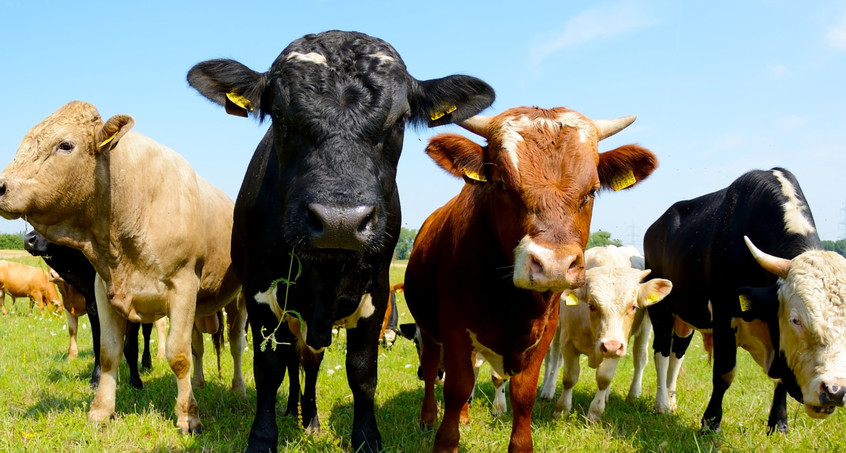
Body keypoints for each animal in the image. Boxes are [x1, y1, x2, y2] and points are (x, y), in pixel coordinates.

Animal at [0, 100, 245, 432]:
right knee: (199, 345)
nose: (1, 187)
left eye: (65, 145)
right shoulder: (104, 290)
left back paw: (239, 388)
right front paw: (101, 411)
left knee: (235, 343)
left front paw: (188, 416)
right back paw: (199, 382)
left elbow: (177, 355)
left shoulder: (182, 287)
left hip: (238, 299)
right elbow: (108, 352)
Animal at [189, 30, 494, 450]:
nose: (339, 221)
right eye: (281, 117)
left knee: (311, 361)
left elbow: (362, 371)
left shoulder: (376, 293)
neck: (325, 273)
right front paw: (263, 437)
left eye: (399, 121)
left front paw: (365, 437)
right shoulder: (259, 292)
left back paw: (310, 418)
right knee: (295, 361)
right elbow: (269, 368)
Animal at [406, 104, 664, 450]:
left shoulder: (544, 331)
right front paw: (446, 441)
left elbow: (523, 393)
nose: (554, 264)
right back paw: (428, 417)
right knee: (434, 365)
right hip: (428, 327)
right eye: (501, 183)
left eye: (592, 190)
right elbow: (457, 387)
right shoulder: (455, 327)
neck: (509, 298)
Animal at [644, 168, 846, 432]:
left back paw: (671, 401)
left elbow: (780, 379)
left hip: (686, 317)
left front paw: (779, 424)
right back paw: (661, 404)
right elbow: (724, 373)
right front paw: (710, 423)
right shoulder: (723, 313)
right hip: (661, 309)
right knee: (661, 353)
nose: (835, 391)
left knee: (677, 354)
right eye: (795, 320)